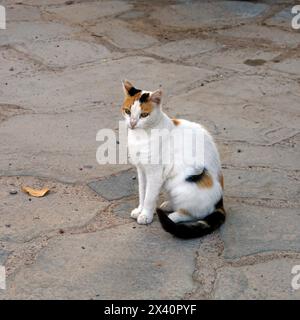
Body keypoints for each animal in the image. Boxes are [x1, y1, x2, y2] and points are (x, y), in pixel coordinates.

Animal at [121, 80, 225, 239]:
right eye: (127, 111)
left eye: (144, 115)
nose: (132, 123)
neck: (140, 136)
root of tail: (220, 203)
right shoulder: (142, 170)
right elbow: (142, 192)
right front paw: (140, 210)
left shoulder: (155, 173)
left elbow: (149, 196)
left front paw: (145, 215)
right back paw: (169, 205)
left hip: (183, 185)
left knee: (193, 214)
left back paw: (172, 216)